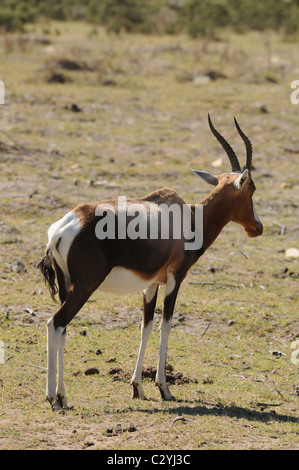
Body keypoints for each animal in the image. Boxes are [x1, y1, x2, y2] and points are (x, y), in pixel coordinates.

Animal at [39, 115, 262, 410]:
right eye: (251, 188)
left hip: (67, 286)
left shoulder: (151, 284)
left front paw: (137, 387)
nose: (257, 227)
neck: (189, 217)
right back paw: (53, 398)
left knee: (63, 328)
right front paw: (164, 388)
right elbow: (166, 325)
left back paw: (63, 395)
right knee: (55, 323)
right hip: (86, 286)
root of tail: (61, 229)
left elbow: (145, 327)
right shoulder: (175, 278)